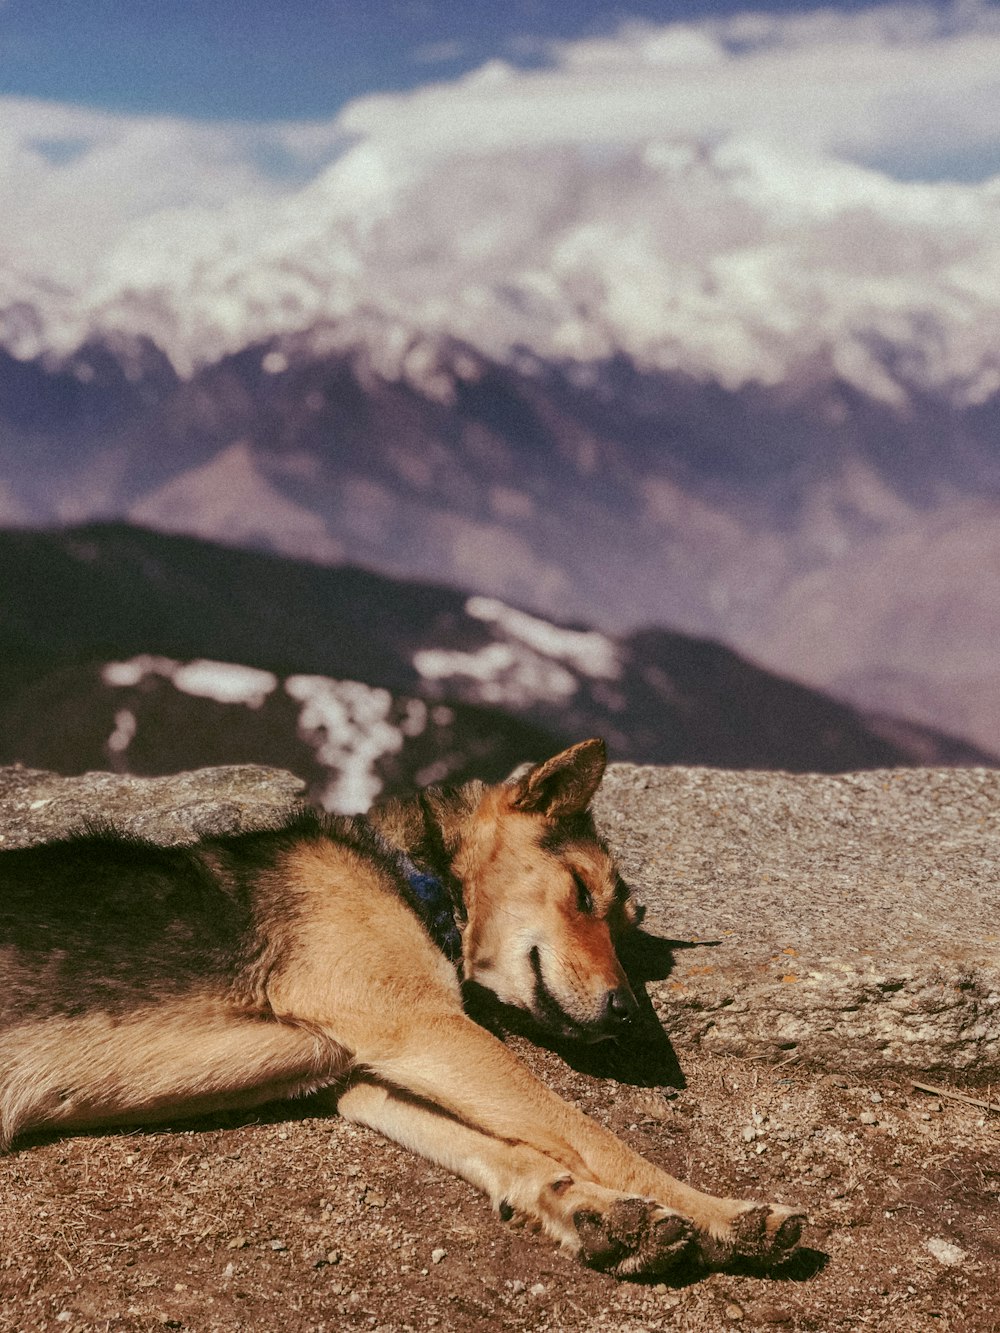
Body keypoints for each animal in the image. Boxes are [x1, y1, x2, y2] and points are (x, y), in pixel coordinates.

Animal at [0, 735, 805, 1274]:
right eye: (581, 892)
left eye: (626, 929)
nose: (627, 1015)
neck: (410, 875)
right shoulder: (423, 1029)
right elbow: (594, 1137)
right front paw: (724, 1215)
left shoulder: (359, 1076)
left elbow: (511, 1148)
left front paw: (590, 1212)